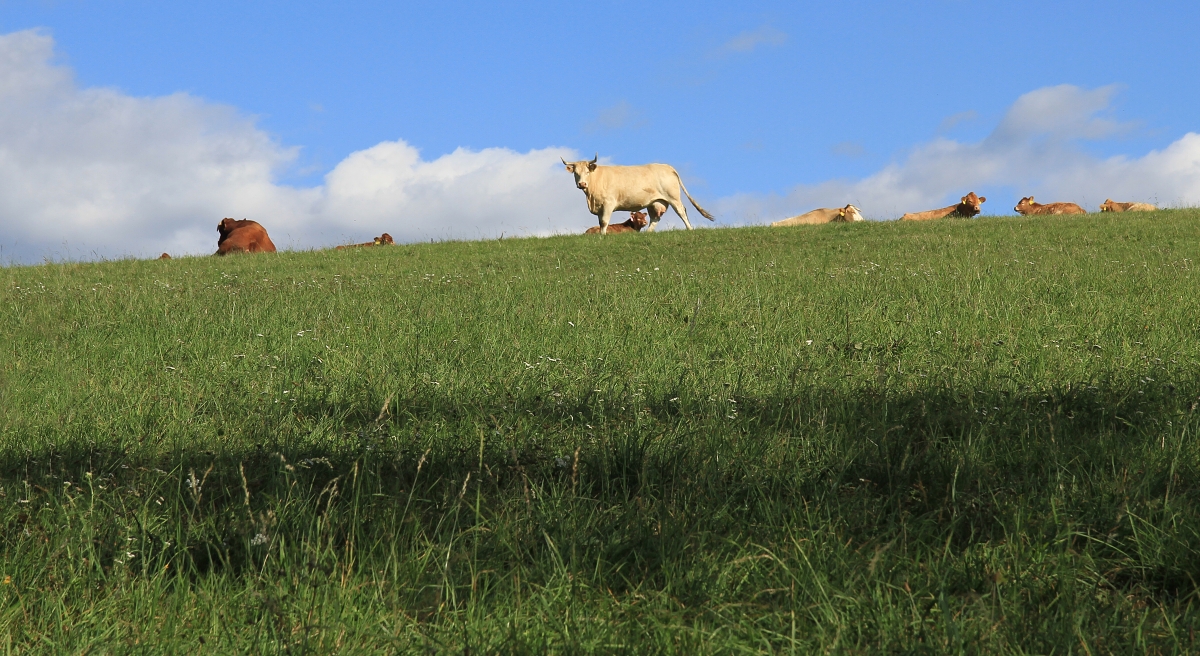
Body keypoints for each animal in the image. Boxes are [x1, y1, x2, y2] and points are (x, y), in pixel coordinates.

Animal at [561, 155, 710, 235]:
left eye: (587, 172)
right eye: (576, 173)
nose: (582, 184)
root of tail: (667, 167)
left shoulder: (609, 203)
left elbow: (604, 222)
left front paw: (602, 236)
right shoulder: (599, 206)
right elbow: (600, 222)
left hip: (673, 197)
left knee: (681, 211)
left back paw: (690, 229)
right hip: (654, 202)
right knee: (655, 218)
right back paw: (648, 233)